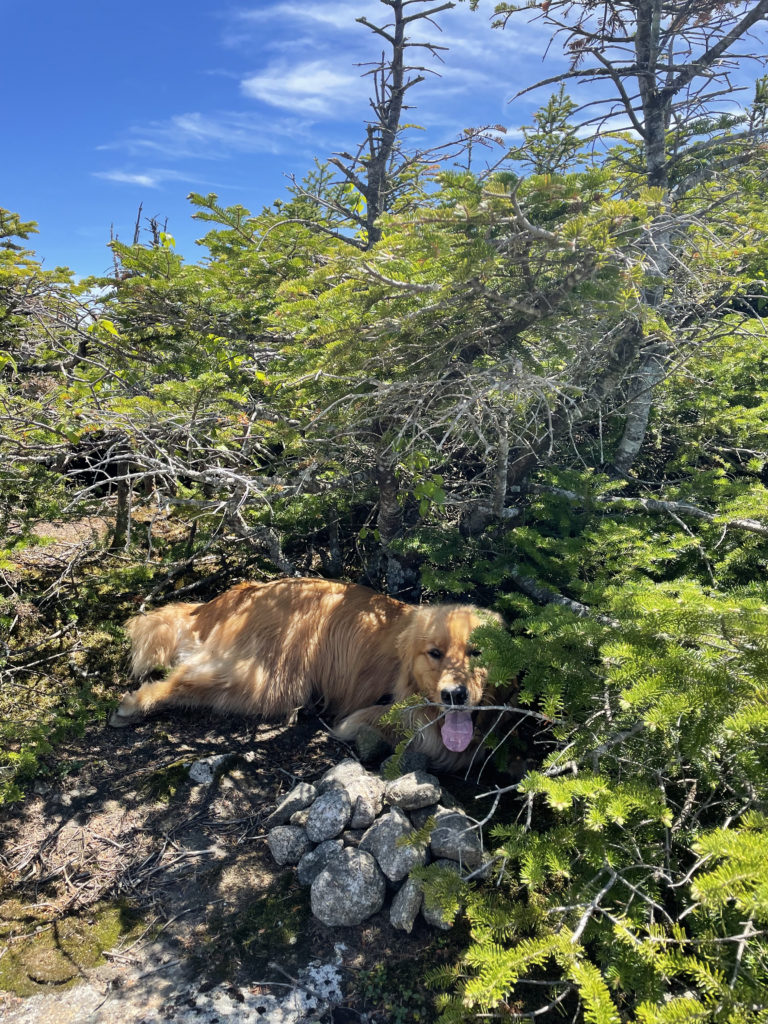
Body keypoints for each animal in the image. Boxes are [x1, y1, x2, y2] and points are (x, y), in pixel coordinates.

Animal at [111, 577, 501, 770]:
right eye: (434, 653)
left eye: (477, 651)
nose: (455, 695)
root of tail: (246, 590)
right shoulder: (383, 713)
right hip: (270, 680)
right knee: (183, 677)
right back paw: (134, 704)